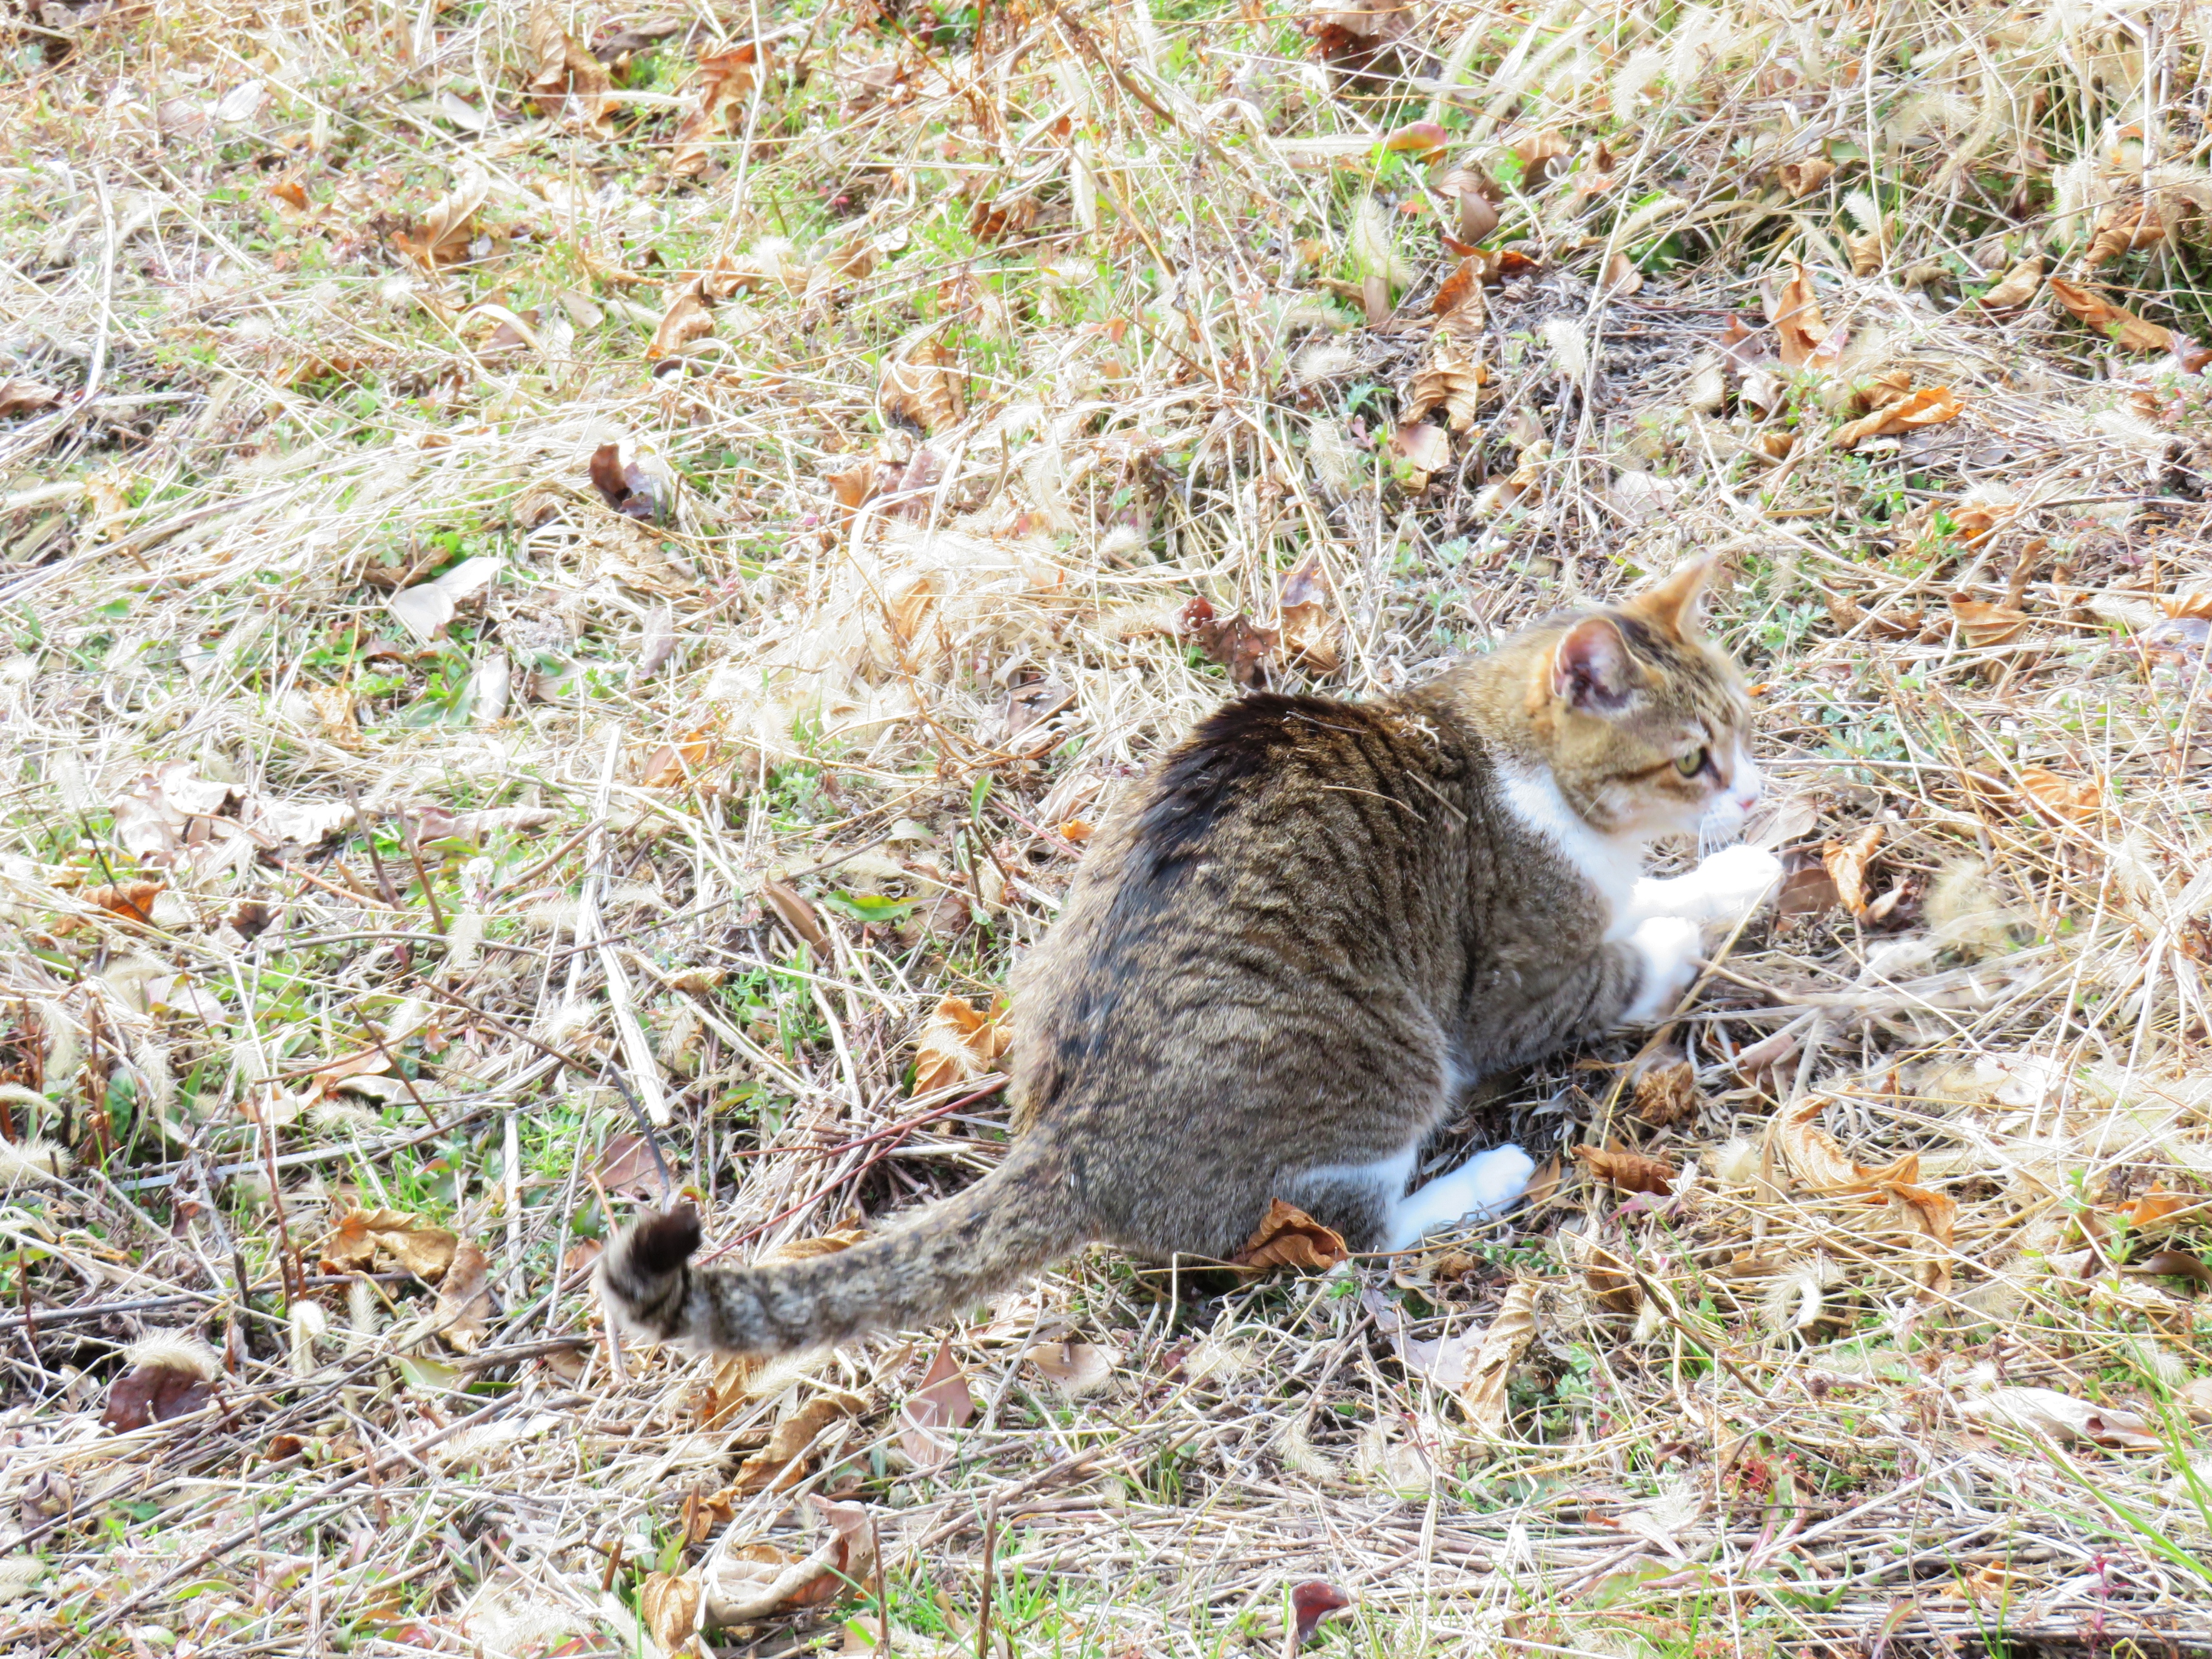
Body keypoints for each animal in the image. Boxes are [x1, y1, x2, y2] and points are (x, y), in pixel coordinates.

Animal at [602, 559, 1778, 1353]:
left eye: (1742, 726)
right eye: (1693, 759)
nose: (1754, 792)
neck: (1511, 757)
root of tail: (1066, 1140)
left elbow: (1647, 897)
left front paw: (1733, 870)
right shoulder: (1514, 989)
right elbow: (1628, 962)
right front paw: (1709, 909)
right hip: (1389, 1067)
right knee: (1355, 1233)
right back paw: (1480, 1179)